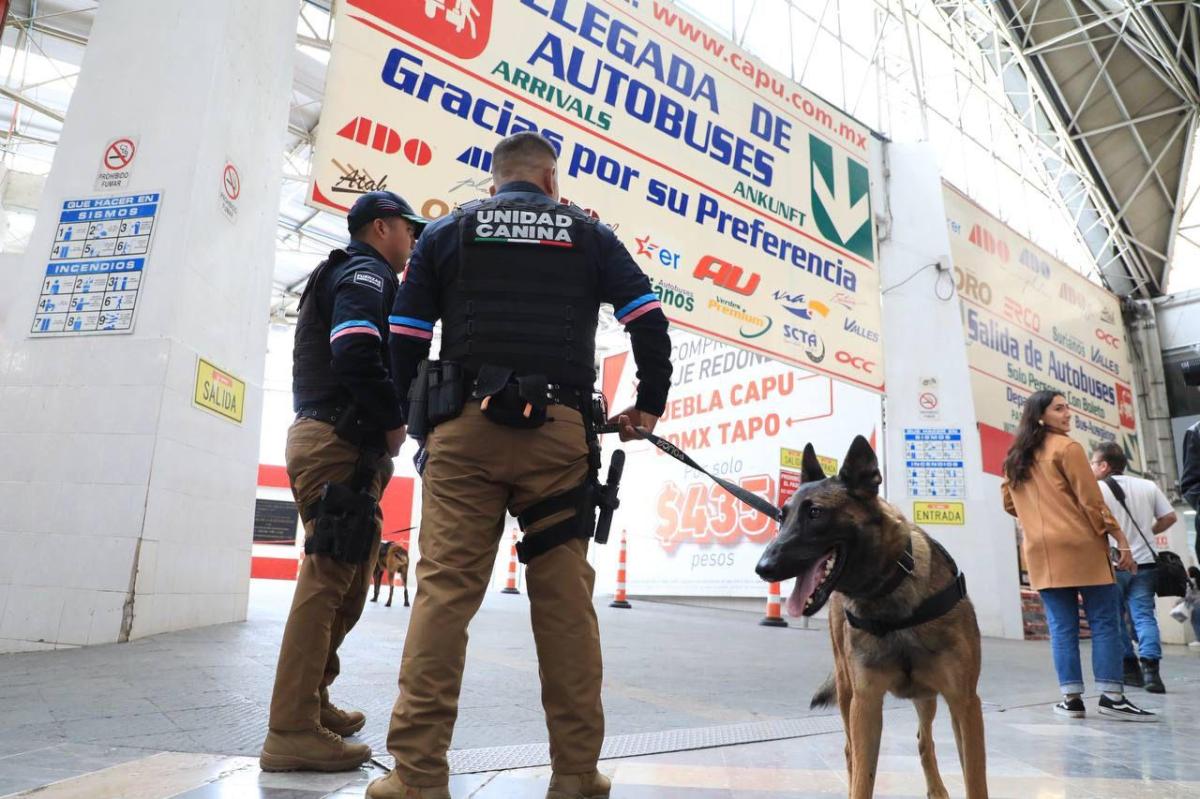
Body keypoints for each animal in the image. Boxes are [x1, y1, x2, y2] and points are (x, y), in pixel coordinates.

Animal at [753, 436, 988, 796]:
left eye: (816, 513)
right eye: (782, 517)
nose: (763, 568)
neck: (888, 595)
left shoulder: (965, 704)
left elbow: (975, 781)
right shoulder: (866, 705)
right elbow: (863, 778)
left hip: (928, 697)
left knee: (924, 740)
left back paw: (936, 789)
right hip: (847, 692)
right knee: (851, 751)